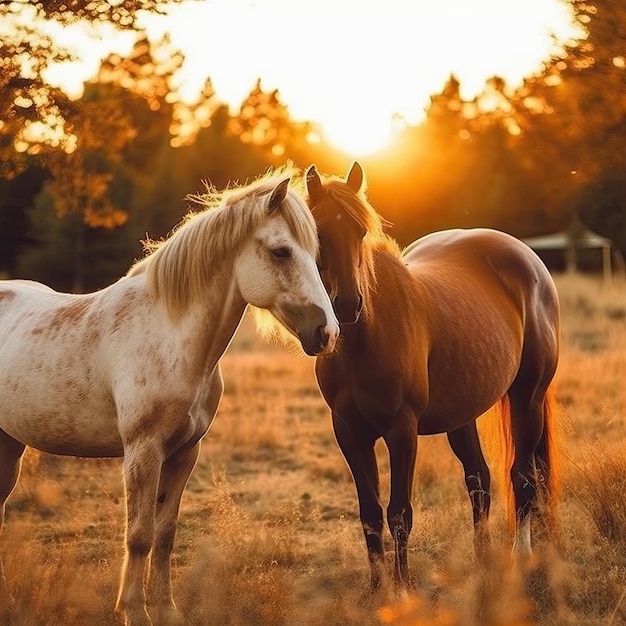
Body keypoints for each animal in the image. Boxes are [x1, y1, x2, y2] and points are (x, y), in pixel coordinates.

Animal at [0, 168, 338, 620]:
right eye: (282, 252)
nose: (328, 332)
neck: (170, 335)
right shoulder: (143, 452)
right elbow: (139, 534)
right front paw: (133, 611)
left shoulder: (184, 453)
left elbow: (165, 533)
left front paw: (165, 609)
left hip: (9, 444)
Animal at [304, 162, 560, 588]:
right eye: (319, 232)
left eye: (361, 231)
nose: (348, 305)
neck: (365, 339)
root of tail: (528, 259)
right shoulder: (349, 432)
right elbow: (370, 514)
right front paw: (377, 590)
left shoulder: (402, 431)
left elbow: (399, 513)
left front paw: (404, 589)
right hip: (463, 414)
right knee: (480, 482)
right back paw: (482, 563)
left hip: (528, 398)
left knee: (522, 478)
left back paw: (520, 558)